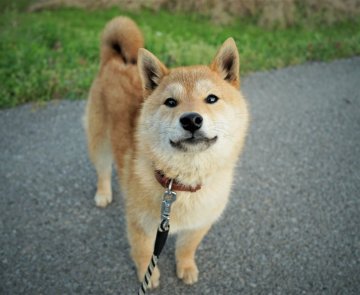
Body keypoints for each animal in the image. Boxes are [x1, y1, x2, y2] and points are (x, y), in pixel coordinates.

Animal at [84, 16, 249, 290]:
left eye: (211, 98)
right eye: (171, 102)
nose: (191, 119)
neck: (180, 184)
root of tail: (114, 60)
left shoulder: (199, 224)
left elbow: (186, 248)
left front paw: (186, 267)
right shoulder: (141, 226)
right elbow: (143, 254)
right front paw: (147, 276)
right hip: (100, 142)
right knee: (103, 171)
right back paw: (103, 193)